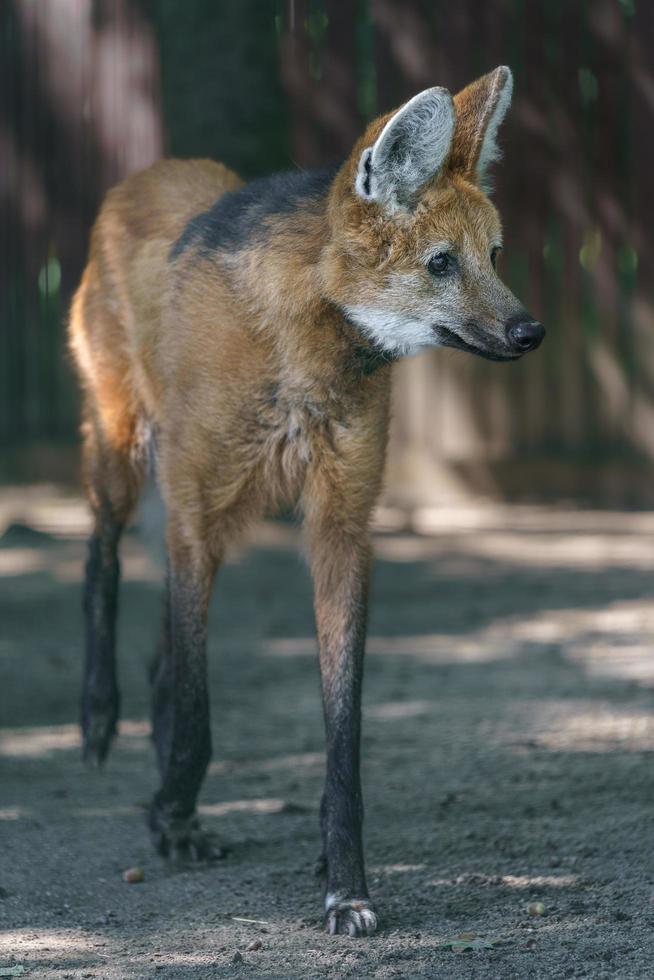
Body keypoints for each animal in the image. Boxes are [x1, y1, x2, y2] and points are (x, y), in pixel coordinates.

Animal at [69, 65, 544, 936]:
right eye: (440, 264)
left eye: (492, 255)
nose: (532, 332)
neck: (304, 346)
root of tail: (148, 171)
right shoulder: (197, 507)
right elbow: (199, 706)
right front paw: (174, 814)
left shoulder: (339, 523)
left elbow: (342, 727)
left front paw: (345, 881)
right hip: (128, 454)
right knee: (103, 556)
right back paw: (100, 718)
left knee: (163, 636)